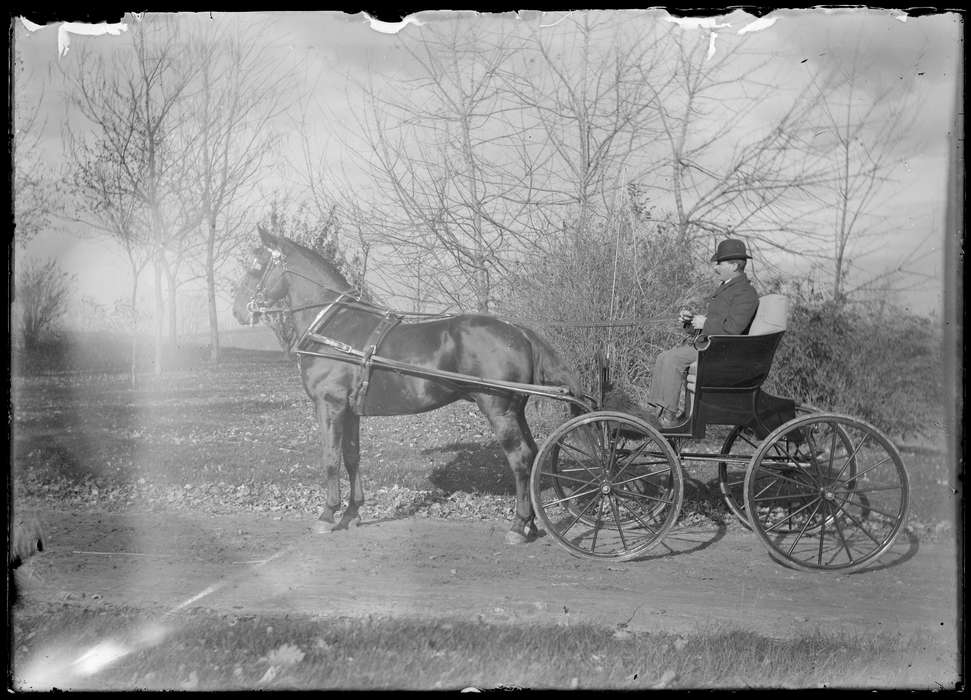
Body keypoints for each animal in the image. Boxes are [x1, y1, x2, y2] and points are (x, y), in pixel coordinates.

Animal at [232, 227, 588, 544]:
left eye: (256, 265)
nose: (238, 311)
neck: (335, 327)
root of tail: (518, 331)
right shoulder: (351, 410)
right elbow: (351, 456)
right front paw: (351, 513)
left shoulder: (329, 405)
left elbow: (330, 458)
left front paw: (326, 515)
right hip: (515, 410)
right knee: (532, 454)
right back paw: (530, 524)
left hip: (498, 410)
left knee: (521, 458)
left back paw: (517, 526)